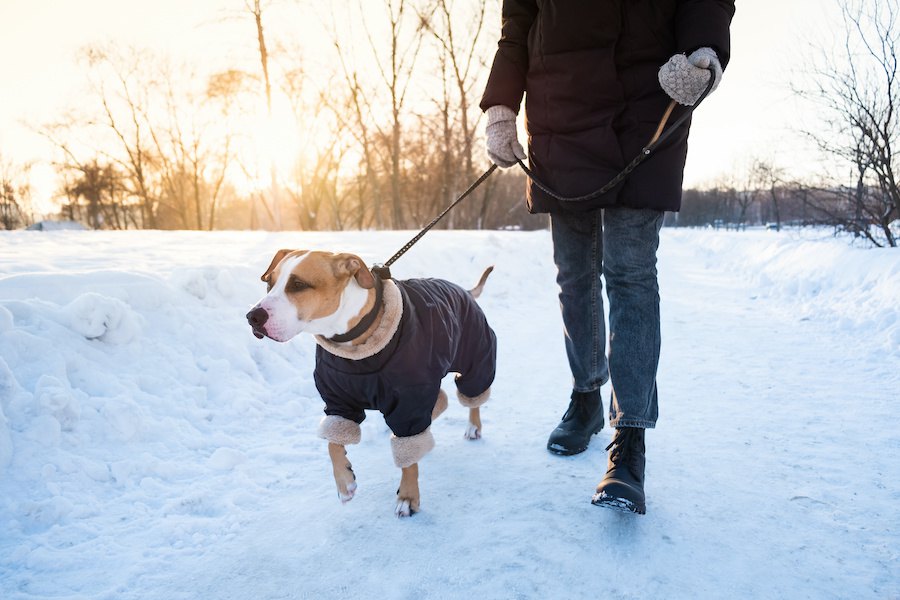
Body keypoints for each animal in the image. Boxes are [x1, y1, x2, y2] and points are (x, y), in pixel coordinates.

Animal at [246, 248, 496, 516]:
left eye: (298, 285)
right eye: (269, 283)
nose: (252, 316)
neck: (352, 343)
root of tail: (463, 289)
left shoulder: (409, 401)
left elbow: (408, 457)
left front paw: (408, 497)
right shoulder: (338, 401)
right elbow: (333, 443)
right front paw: (344, 483)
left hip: (476, 356)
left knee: (473, 394)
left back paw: (473, 427)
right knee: (440, 400)